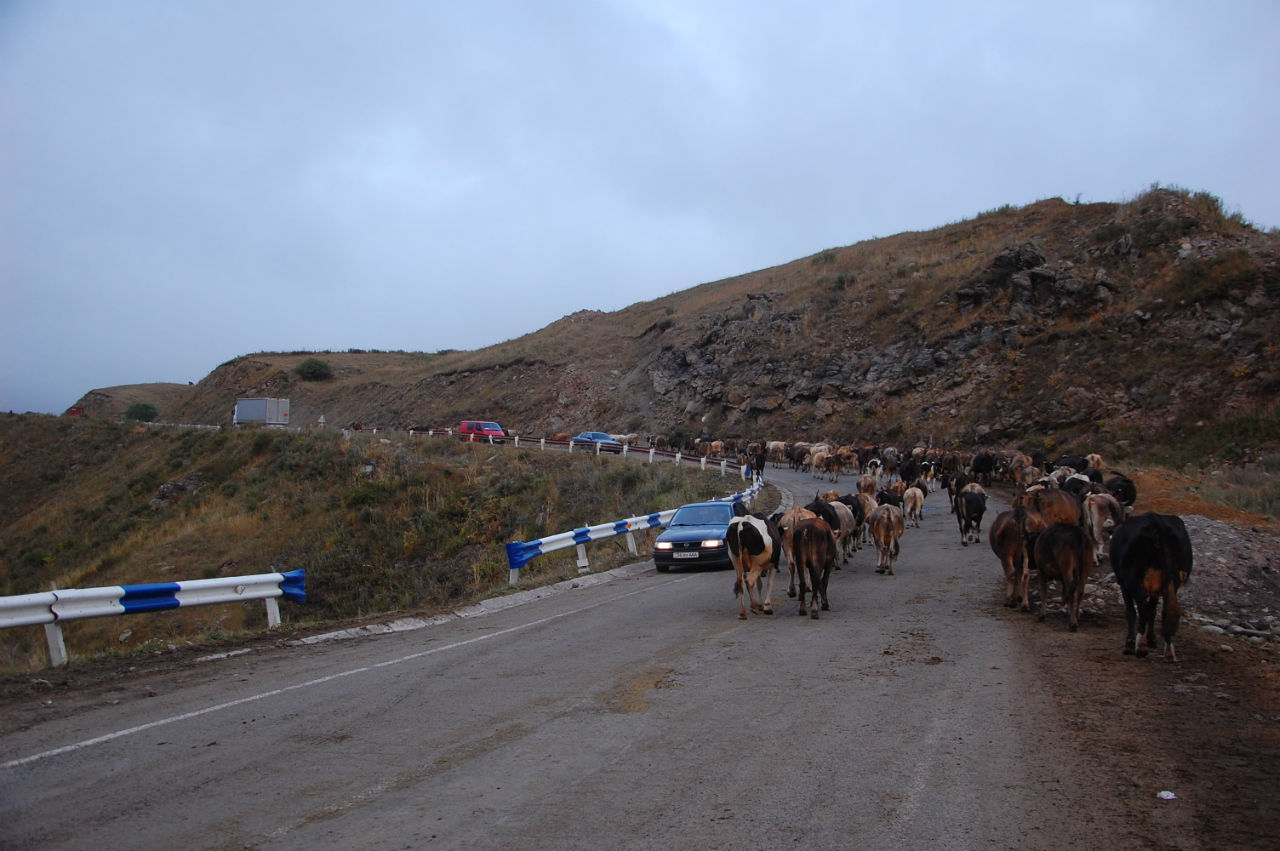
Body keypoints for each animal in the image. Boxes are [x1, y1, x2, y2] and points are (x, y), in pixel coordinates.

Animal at [1116, 511, 1192, 655]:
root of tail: (1156, 521)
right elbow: (1152, 611)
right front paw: (1152, 639)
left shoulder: (1124, 584)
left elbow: (1131, 612)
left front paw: (1130, 643)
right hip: (1172, 581)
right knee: (1167, 611)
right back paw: (1168, 649)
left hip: (1133, 579)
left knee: (1142, 609)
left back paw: (1140, 646)